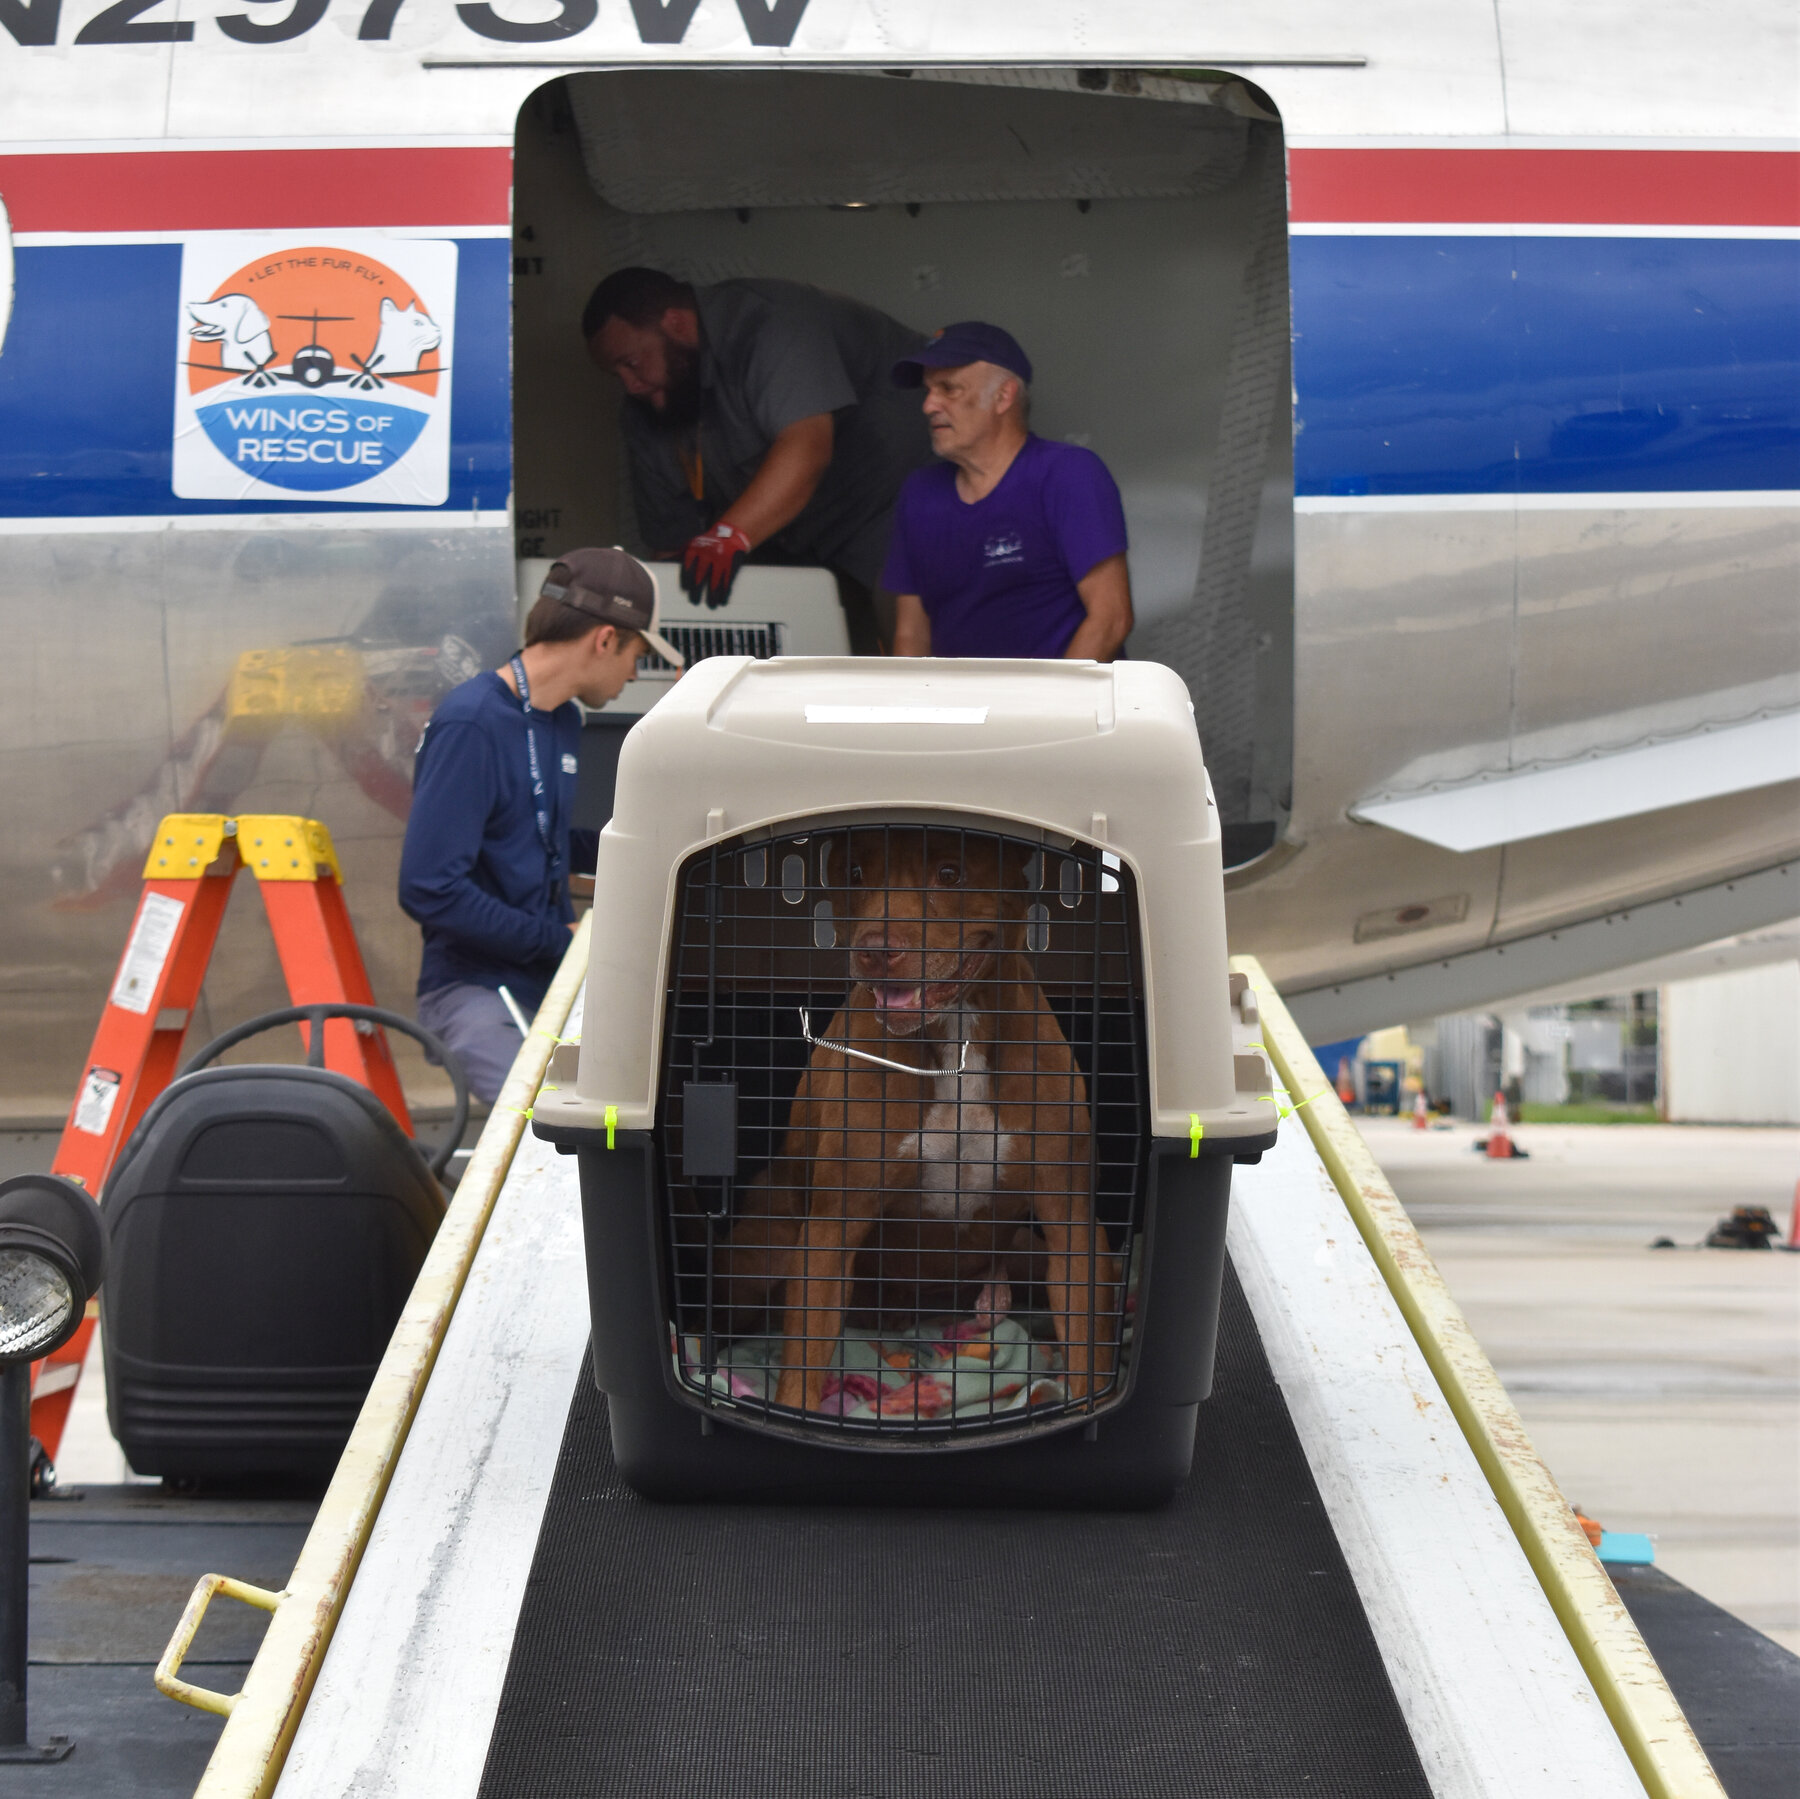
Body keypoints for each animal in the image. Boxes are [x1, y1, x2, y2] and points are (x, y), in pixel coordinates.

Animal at [709, 828, 1116, 1419]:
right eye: (855, 874)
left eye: (950, 873)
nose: (876, 950)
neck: (956, 1035)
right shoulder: (830, 1231)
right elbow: (801, 1366)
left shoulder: (1071, 1228)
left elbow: (1088, 1353)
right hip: (757, 1257)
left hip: (1039, 1254)